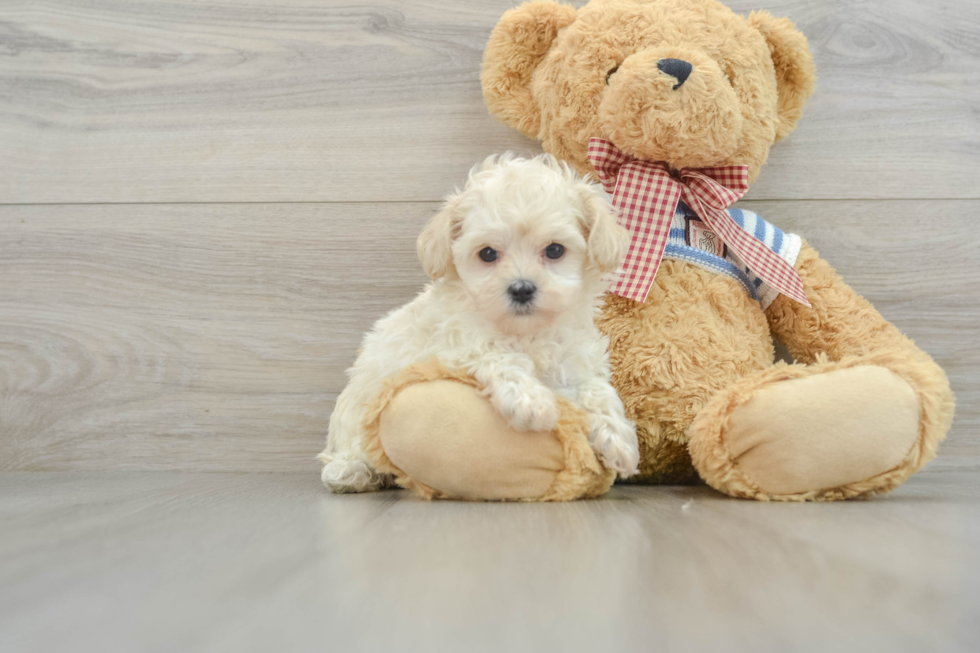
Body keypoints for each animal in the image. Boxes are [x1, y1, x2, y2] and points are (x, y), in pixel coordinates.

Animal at [322, 152, 640, 488]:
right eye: (487, 254)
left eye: (555, 250)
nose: (521, 288)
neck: (525, 333)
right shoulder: (451, 348)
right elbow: (497, 356)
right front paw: (531, 402)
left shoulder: (575, 361)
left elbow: (597, 388)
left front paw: (618, 437)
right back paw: (352, 471)